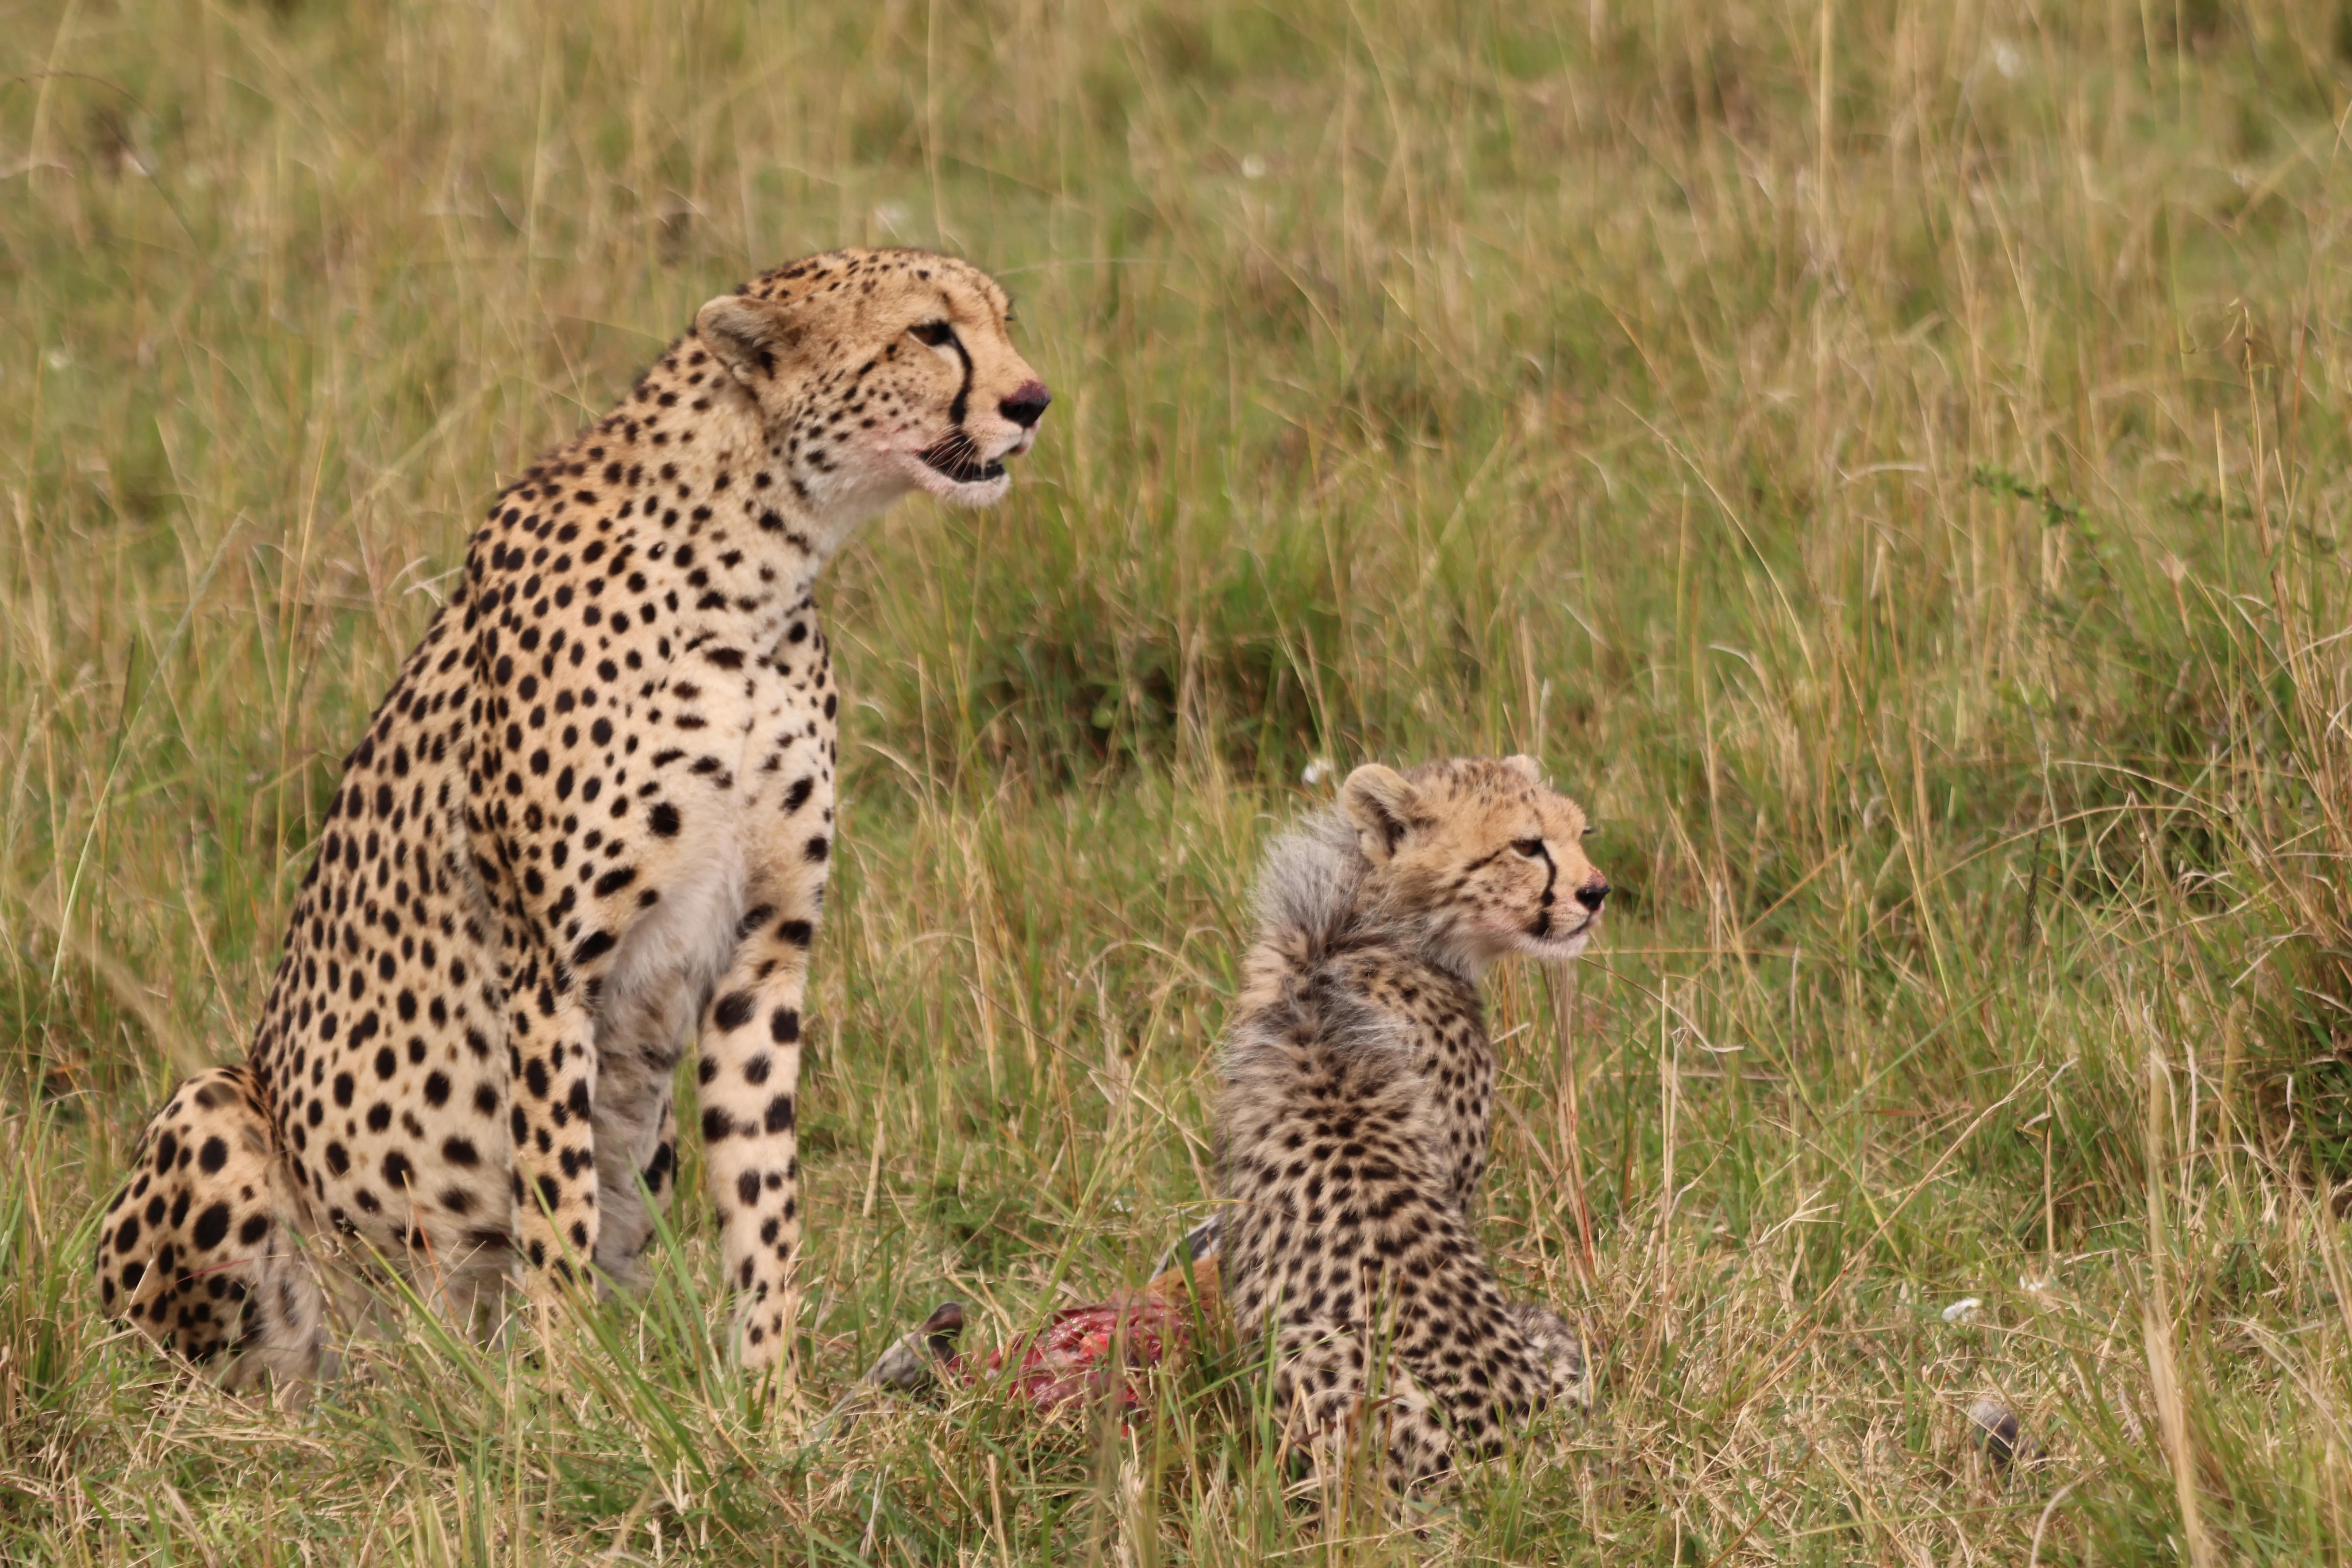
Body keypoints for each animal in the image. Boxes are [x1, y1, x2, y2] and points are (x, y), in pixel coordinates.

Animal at [93, 247, 1050, 1387]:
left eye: (1001, 321)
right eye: (928, 331)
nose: (1032, 401)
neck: (757, 574)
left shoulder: (764, 955)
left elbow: (764, 1201)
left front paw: (769, 1395)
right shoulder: (553, 966)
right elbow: (555, 1207)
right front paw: (575, 1394)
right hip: (215, 1123)